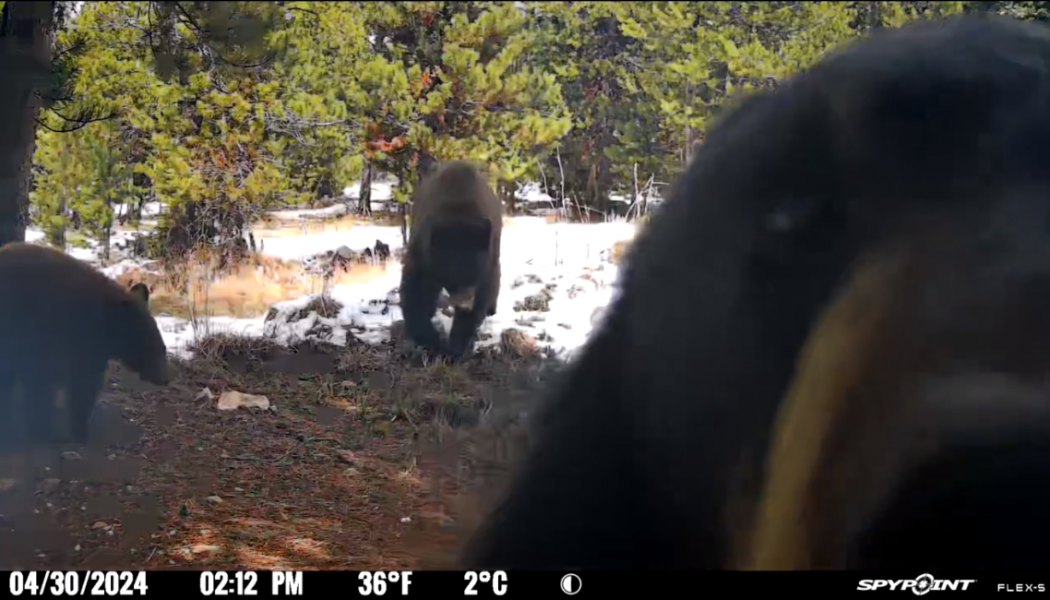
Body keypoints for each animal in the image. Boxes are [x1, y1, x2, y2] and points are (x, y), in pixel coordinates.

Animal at [399, 160, 502, 359]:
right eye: (451, 276)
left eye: (474, 275)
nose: (465, 305)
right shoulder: (423, 254)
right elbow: (414, 291)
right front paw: (431, 341)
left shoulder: (486, 263)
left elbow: (483, 294)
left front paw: (456, 348)